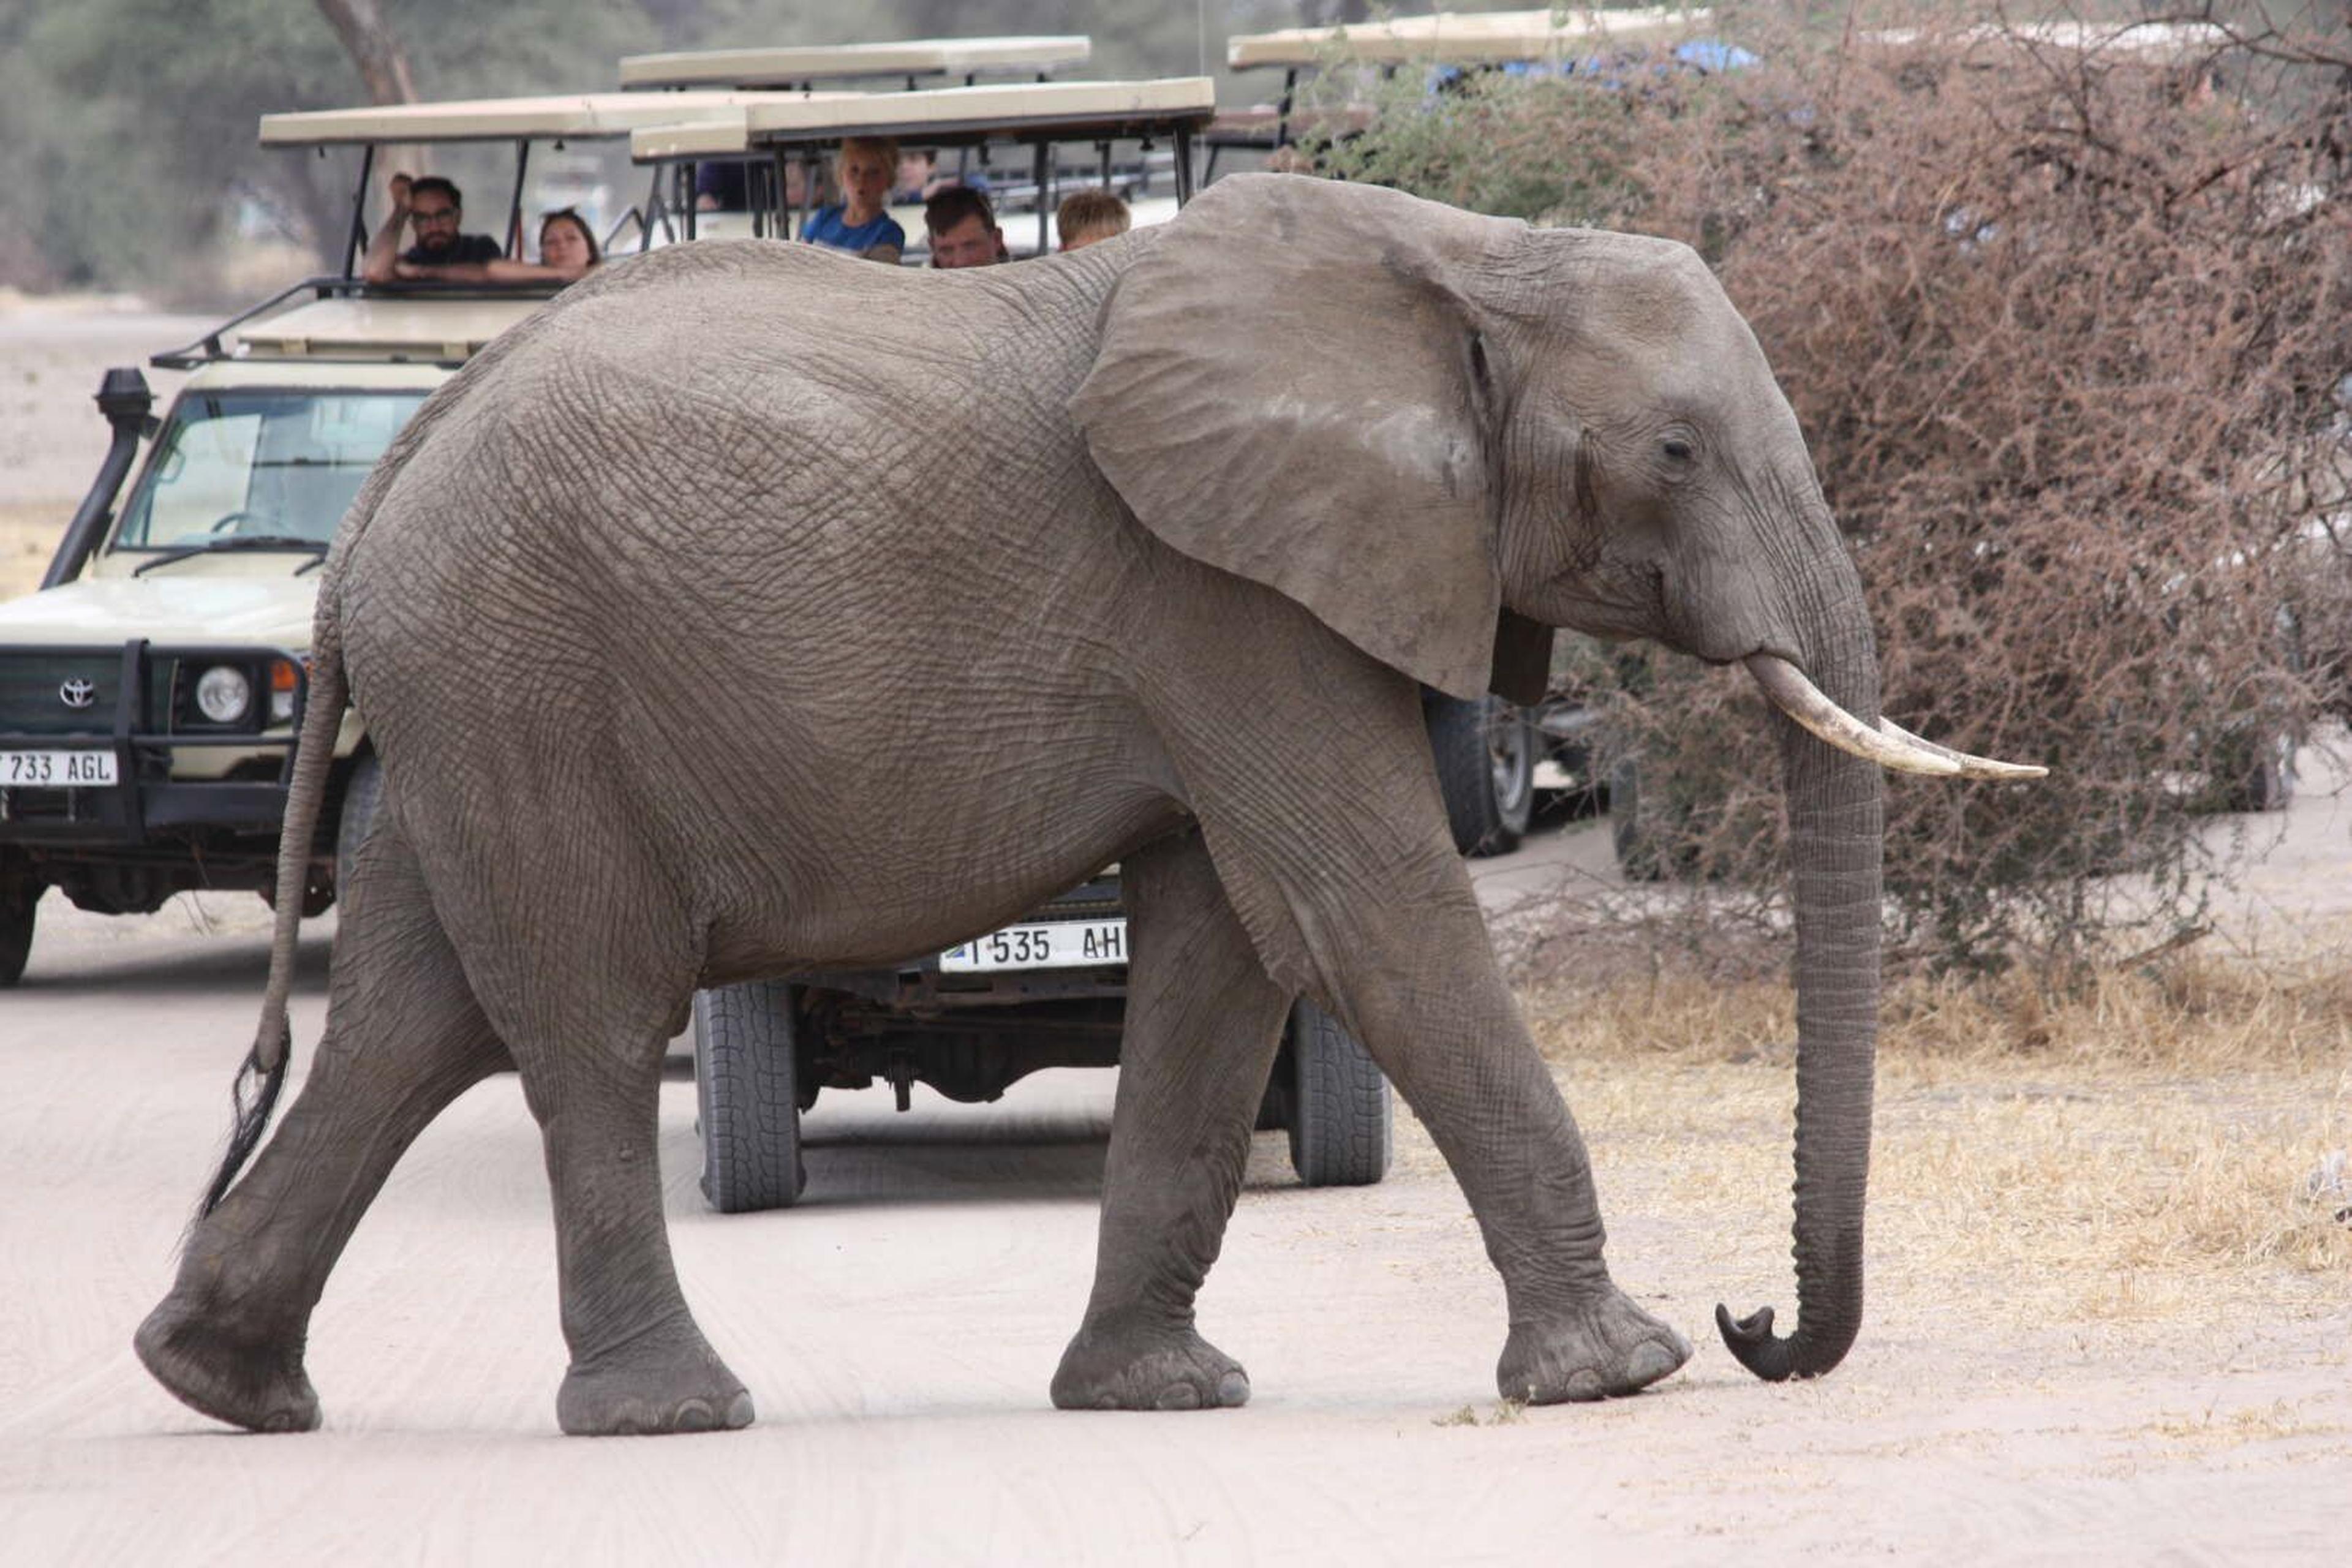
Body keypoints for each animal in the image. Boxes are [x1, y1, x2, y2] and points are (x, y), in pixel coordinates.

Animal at [133, 169, 2041, 1438]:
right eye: (1674, 454)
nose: (1758, 1317)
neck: (1464, 258)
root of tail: (380, 486)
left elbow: (1224, 959)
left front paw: (1158, 1392)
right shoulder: (1229, 593)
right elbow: (1370, 913)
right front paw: (1622, 1370)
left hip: (467, 714)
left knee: (413, 1018)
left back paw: (221, 1383)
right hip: (521, 679)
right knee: (583, 1025)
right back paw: (672, 1414)